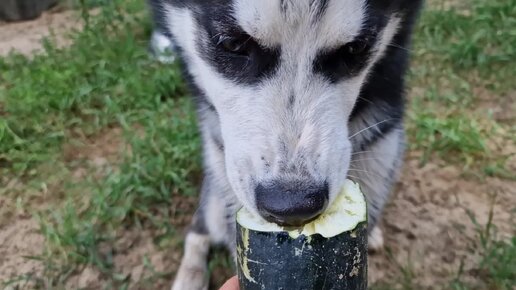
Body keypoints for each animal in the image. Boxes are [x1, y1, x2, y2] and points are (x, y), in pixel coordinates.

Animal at [149, 1, 424, 288]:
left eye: (355, 48)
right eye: (233, 44)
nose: (293, 207)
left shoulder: (380, 150)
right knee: (199, 227)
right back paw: (190, 274)